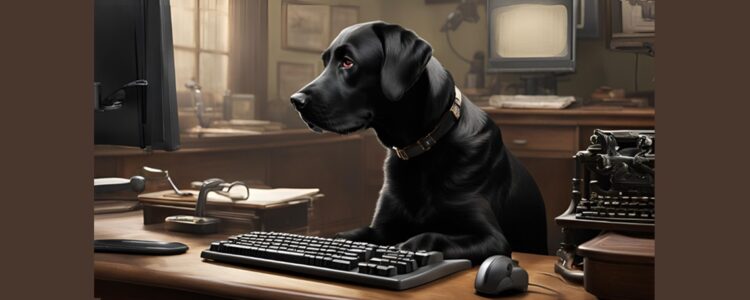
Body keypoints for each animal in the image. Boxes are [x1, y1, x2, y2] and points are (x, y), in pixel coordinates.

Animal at [292, 21, 548, 264]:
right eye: (325, 62)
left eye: (347, 62)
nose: (296, 100)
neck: (421, 150)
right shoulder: (382, 228)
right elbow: (348, 235)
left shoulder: (493, 238)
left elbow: (428, 236)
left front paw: (404, 247)